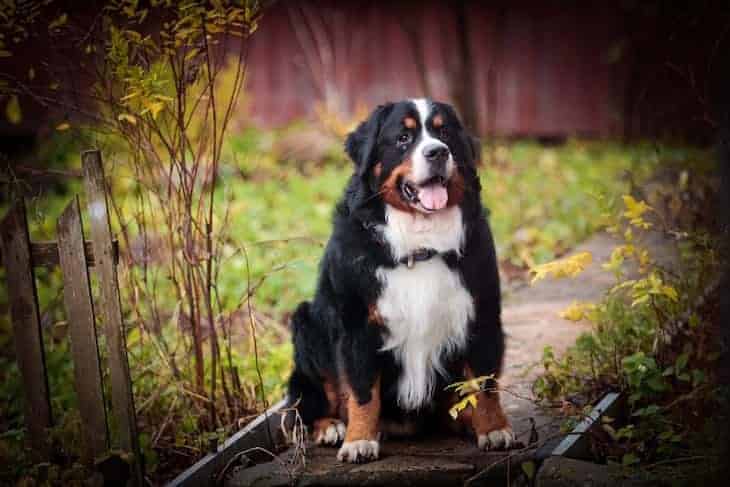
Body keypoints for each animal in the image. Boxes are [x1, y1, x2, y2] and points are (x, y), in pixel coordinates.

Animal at [284, 99, 512, 466]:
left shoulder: (482, 315)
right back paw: (331, 427)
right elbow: (362, 391)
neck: (419, 246)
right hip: (307, 325)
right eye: (403, 138)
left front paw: (493, 429)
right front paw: (359, 440)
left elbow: (484, 384)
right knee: (308, 402)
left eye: (444, 133)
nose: (437, 152)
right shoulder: (358, 325)